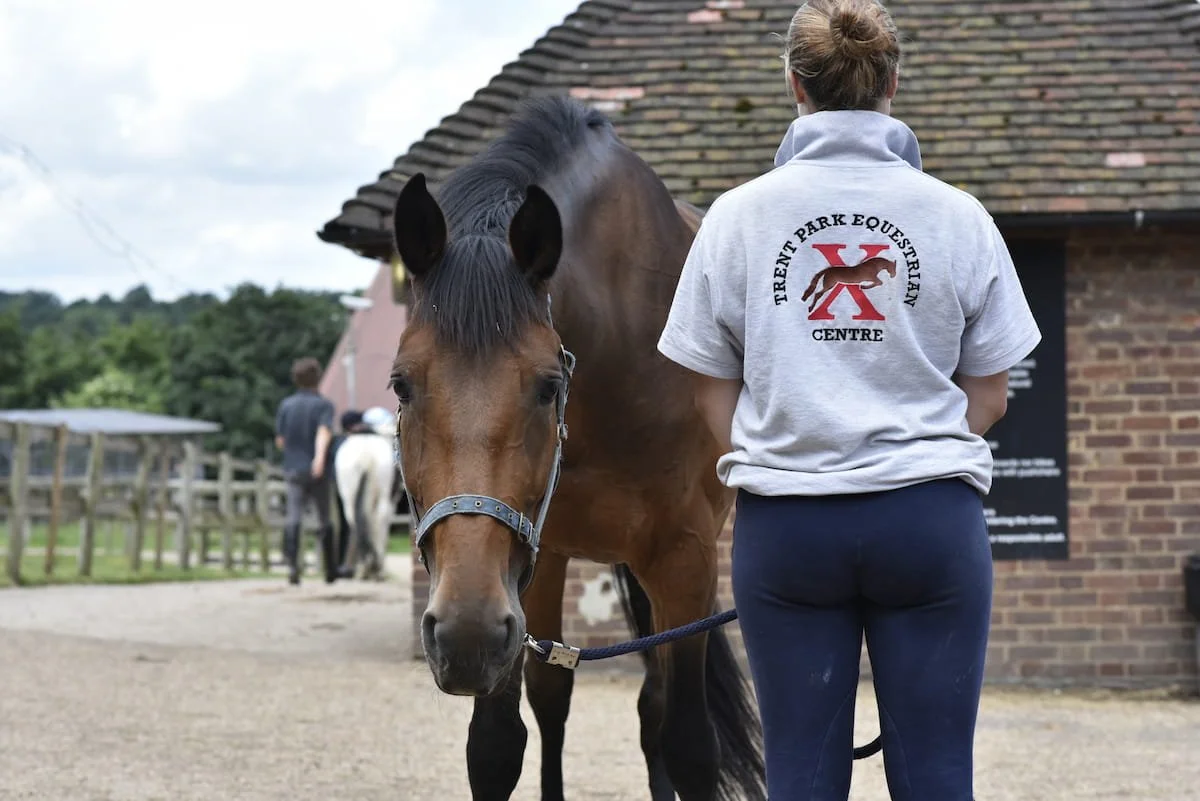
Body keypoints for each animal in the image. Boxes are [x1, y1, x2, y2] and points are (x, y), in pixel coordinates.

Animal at [332, 430, 396, 580]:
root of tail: (366, 456)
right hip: (381, 497)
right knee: (378, 519)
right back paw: (374, 567)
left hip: (349, 496)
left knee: (356, 523)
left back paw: (364, 567)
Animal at [386, 94, 765, 801]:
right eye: (401, 384)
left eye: (547, 385)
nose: (464, 631)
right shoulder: (528, 563)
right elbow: (500, 743)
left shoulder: (686, 558)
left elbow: (691, 743)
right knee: (562, 698)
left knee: (656, 708)